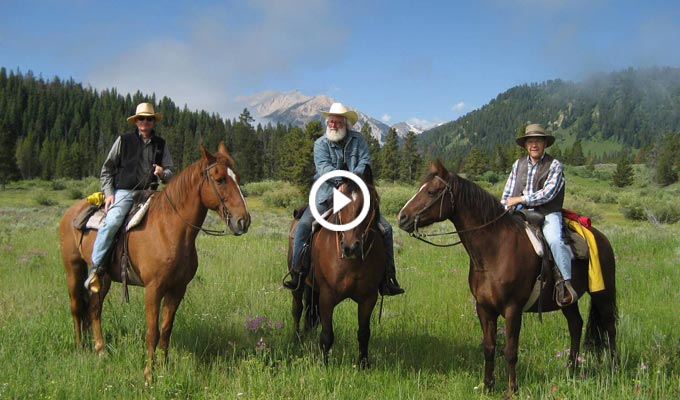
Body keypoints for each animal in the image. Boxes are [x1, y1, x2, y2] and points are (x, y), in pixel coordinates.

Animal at [58, 142, 250, 380]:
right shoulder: (153, 289)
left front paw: (164, 367)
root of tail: (70, 212)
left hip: (104, 277)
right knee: (76, 306)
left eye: (238, 177)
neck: (169, 229)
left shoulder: (177, 289)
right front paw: (148, 375)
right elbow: (152, 331)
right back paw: (79, 347)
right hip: (73, 268)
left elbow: (166, 329)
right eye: (220, 179)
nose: (243, 221)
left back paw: (101, 351)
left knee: (94, 308)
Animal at [286, 170, 386, 368]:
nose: (351, 247)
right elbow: (327, 334)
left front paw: (363, 364)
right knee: (297, 309)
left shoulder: (368, 298)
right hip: (298, 284)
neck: (352, 263)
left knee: (310, 314)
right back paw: (297, 339)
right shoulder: (327, 296)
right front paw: (324, 365)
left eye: (370, 204)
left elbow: (364, 333)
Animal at [398, 160, 616, 396]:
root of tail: (602, 238)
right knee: (576, 325)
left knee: (610, 327)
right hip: (567, 301)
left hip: (603, 293)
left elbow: (511, 351)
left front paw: (512, 390)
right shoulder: (484, 308)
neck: (495, 250)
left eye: (431, 191)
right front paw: (487, 386)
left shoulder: (513, 309)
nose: (402, 217)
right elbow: (489, 348)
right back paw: (571, 370)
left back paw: (613, 367)